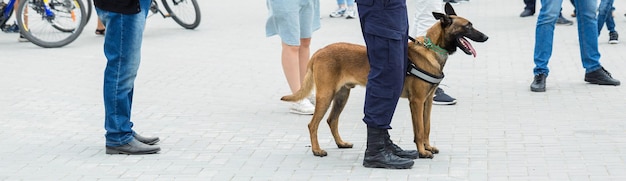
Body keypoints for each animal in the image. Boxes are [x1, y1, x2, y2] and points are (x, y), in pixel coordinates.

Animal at [280, 2, 488, 158]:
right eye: (468, 26)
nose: (486, 37)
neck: (431, 49)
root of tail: (319, 51)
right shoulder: (417, 101)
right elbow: (420, 130)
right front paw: (422, 152)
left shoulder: (427, 101)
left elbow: (427, 127)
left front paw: (428, 147)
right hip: (326, 95)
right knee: (313, 124)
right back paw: (317, 150)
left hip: (341, 96)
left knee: (332, 120)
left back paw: (341, 143)